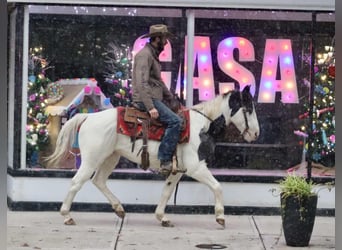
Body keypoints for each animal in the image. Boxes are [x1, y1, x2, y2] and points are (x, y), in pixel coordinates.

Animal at [46, 85, 260, 228]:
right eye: (248, 109)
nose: (256, 133)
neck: (202, 124)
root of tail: (88, 117)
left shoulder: (177, 170)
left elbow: (167, 191)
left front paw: (162, 217)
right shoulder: (196, 167)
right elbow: (217, 186)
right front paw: (220, 217)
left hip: (110, 158)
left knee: (98, 180)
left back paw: (119, 208)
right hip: (92, 159)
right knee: (76, 182)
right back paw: (67, 216)